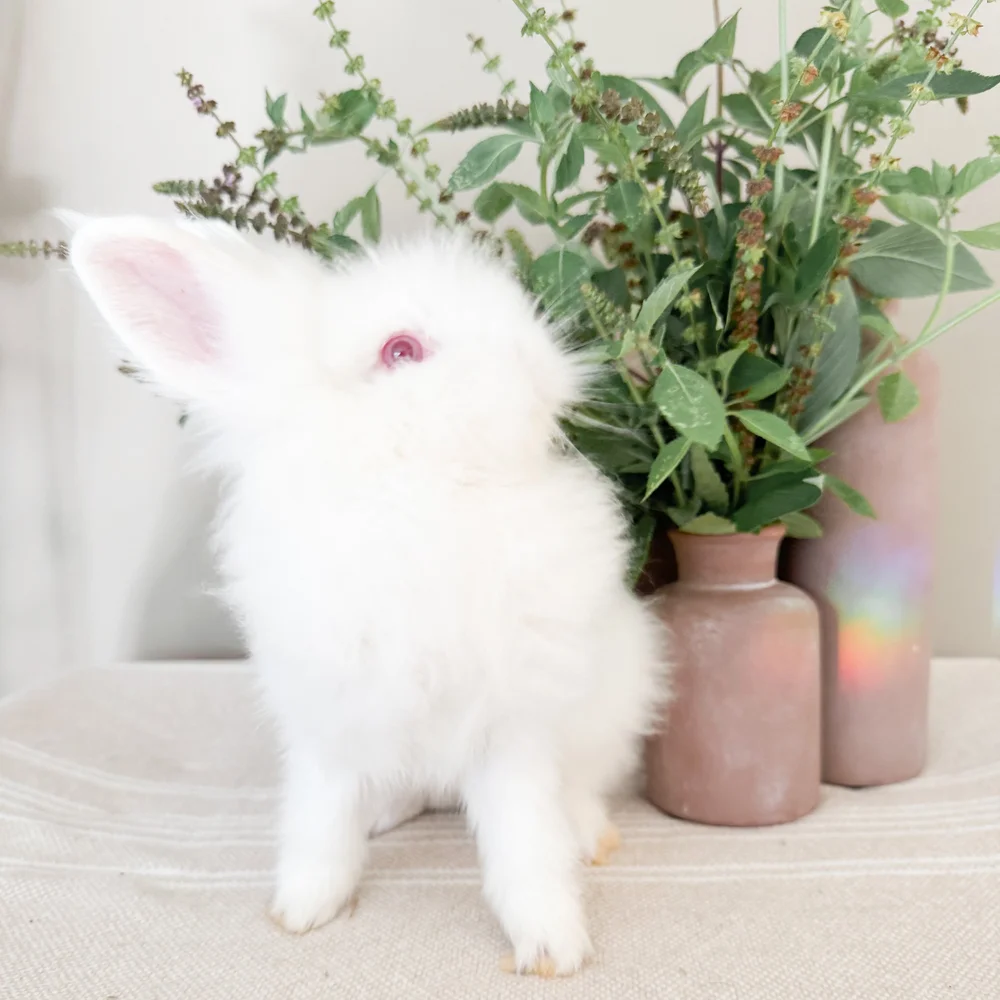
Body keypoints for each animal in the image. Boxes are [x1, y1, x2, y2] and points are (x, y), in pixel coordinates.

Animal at [69, 215, 671, 977]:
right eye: (400, 350)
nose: (540, 367)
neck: (413, 489)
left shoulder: (514, 731)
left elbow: (525, 844)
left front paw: (551, 947)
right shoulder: (330, 722)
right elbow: (319, 823)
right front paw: (303, 911)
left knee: (583, 786)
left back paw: (590, 838)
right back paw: (383, 816)